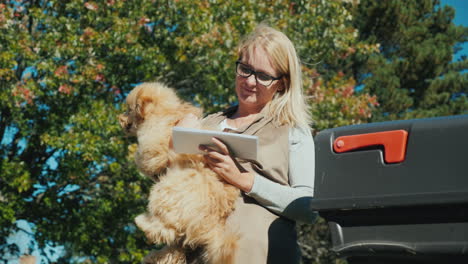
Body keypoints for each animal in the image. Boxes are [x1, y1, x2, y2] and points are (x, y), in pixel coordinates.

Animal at [119, 83, 239, 264]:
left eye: (129, 109)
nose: (119, 118)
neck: (167, 111)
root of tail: (213, 226)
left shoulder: (153, 145)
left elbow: (147, 159)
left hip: (165, 193)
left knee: (164, 230)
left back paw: (142, 223)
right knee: (176, 244)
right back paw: (155, 256)